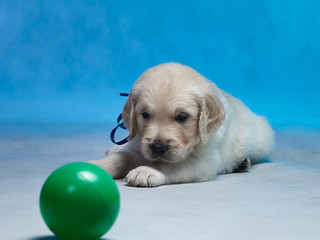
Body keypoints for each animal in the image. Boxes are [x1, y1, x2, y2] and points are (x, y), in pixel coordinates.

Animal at [89, 62, 274, 187]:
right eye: (145, 115)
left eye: (182, 116)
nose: (157, 147)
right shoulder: (137, 145)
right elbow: (118, 159)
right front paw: (95, 165)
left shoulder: (204, 161)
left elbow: (172, 165)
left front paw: (147, 170)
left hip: (261, 142)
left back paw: (242, 163)